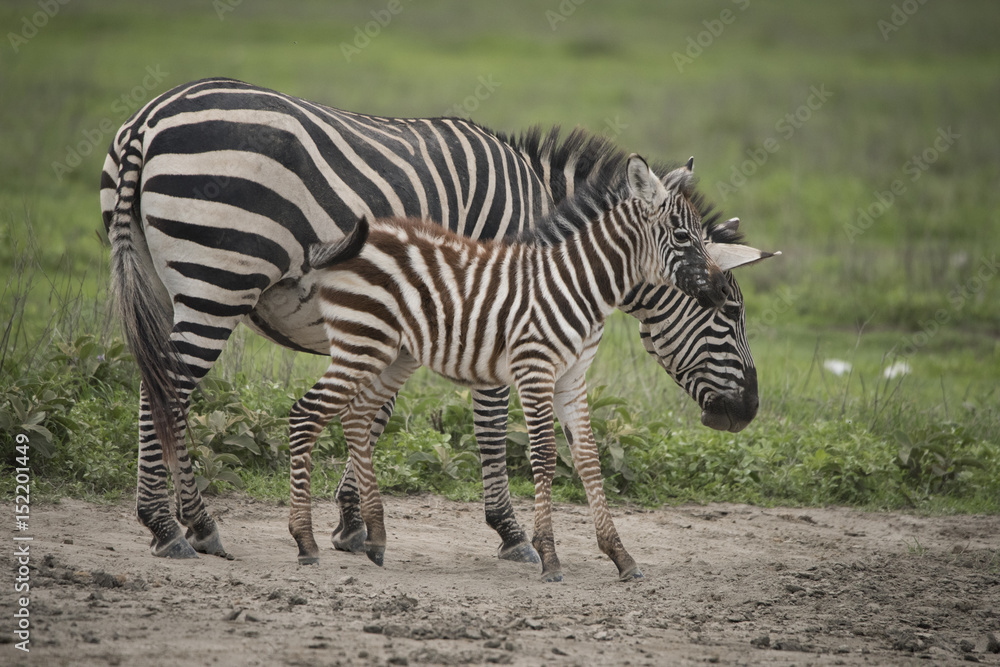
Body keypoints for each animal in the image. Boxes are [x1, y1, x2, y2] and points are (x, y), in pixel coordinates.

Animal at [101, 77, 764, 561]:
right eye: (729, 311)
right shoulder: (495, 309)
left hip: (161, 281)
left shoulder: (415, 323)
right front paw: (510, 533)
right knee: (170, 391)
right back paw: (179, 526)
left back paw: (179, 522)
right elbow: (491, 424)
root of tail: (148, 120)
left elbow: (373, 415)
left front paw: (351, 523)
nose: (749, 411)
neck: (547, 223)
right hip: (218, 277)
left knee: (159, 384)